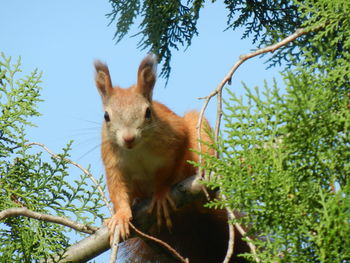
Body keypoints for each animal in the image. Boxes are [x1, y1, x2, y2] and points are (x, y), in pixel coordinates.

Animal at [94, 54, 250, 262]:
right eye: (106, 116)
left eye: (148, 112)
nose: (128, 138)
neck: (137, 149)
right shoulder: (112, 160)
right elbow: (117, 187)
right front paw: (120, 215)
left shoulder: (175, 139)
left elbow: (169, 170)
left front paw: (161, 193)